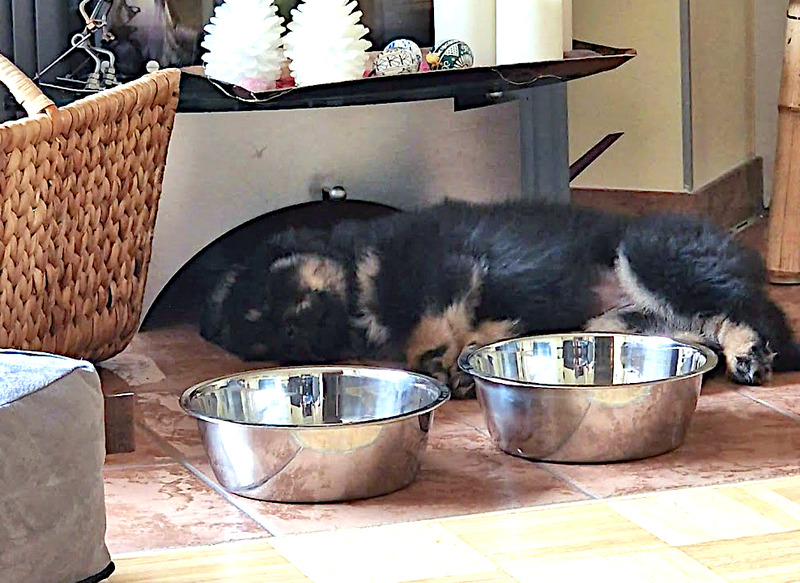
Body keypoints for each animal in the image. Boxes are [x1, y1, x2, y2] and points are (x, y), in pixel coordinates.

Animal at [200, 199, 800, 397]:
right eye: (265, 338)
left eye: (277, 290)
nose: (297, 333)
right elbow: (490, 328)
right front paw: (464, 363)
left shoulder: (442, 264)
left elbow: (432, 321)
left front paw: (437, 359)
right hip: (621, 320)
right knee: (705, 329)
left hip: (648, 255)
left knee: (749, 310)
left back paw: (749, 351)